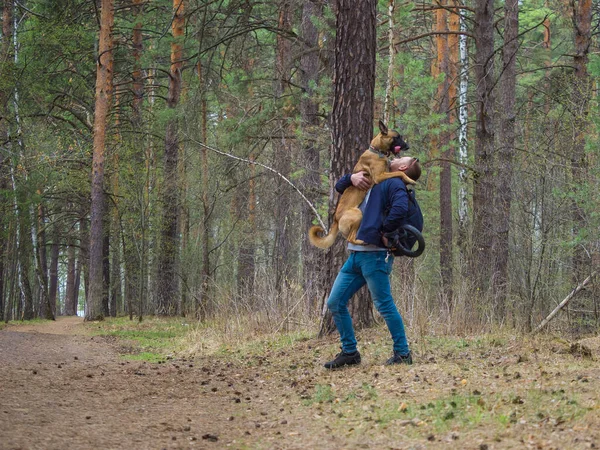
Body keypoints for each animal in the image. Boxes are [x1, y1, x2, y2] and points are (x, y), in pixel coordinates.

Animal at [310, 120, 412, 250]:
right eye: (397, 137)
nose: (407, 146)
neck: (377, 151)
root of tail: (336, 220)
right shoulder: (379, 177)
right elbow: (399, 172)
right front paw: (410, 179)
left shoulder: (386, 172)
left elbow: (397, 172)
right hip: (357, 214)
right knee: (350, 238)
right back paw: (361, 242)